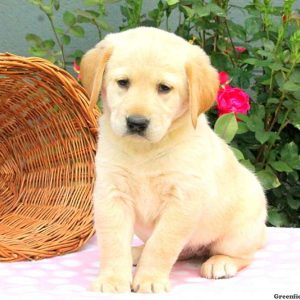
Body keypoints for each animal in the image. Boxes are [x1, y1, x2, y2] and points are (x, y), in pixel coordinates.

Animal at [80, 27, 268, 294]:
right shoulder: (111, 194)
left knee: (242, 255)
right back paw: (137, 253)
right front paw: (113, 279)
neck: (144, 151)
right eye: (123, 83)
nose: (136, 123)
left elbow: (162, 244)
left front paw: (149, 280)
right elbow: (114, 243)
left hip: (239, 232)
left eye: (164, 88)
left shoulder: (182, 200)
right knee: (179, 252)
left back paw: (221, 263)